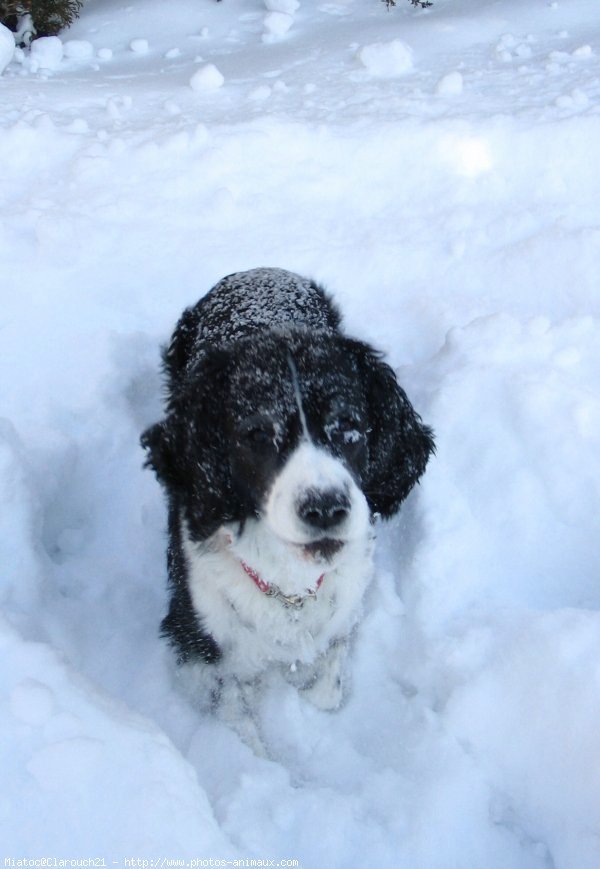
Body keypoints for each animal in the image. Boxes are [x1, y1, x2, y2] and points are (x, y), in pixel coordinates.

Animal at [142, 268, 432, 748]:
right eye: (258, 434)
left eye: (348, 427)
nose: (325, 509)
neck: (288, 586)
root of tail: (259, 271)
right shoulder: (195, 632)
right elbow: (236, 720)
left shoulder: (346, 606)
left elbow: (326, 687)